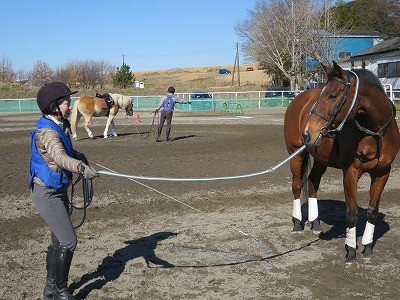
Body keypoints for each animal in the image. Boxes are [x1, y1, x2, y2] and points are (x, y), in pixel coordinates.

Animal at [284, 61, 400, 262]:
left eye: (332, 95)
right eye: (322, 95)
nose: (307, 133)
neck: (376, 133)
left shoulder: (382, 173)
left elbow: (372, 211)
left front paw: (367, 247)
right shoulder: (351, 172)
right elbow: (351, 213)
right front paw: (351, 251)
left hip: (320, 159)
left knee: (312, 183)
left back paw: (315, 224)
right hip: (296, 154)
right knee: (297, 186)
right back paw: (297, 223)